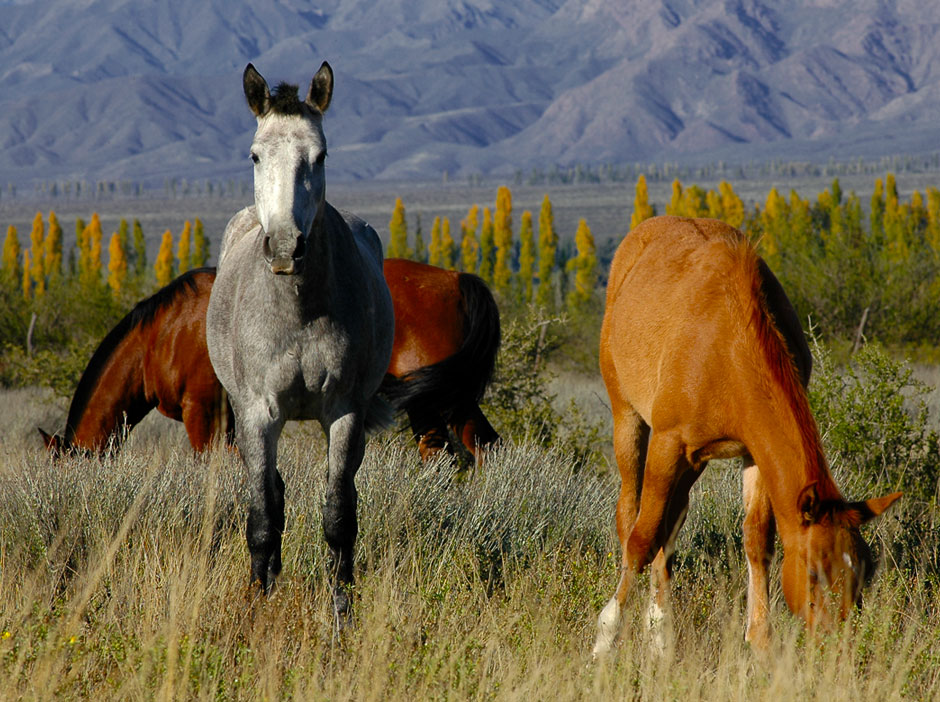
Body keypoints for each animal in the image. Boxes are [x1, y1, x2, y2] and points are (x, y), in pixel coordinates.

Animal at [204, 62, 394, 628]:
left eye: (321, 155)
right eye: (255, 154)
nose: (286, 247)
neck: (299, 311)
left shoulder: (344, 412)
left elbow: (338, 517)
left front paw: (342, 616)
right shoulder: (258, 414)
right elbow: (263, 518)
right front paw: (257, 605)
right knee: (272, 494)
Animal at [596, 217, 904, 656]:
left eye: (864, 573)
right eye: (813, 572)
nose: (836, 645)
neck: (727, 345)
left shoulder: (752, 452)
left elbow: (756, 541)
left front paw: (759, 638)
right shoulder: (668, 443)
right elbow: (642, 538)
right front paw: (605, 637)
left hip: (694, 461)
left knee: (671, 523)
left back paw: (661, 632)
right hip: (628, 418)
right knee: (630, 515)